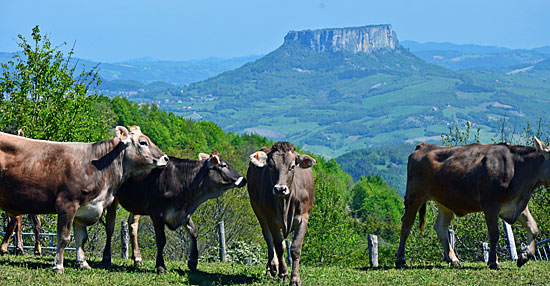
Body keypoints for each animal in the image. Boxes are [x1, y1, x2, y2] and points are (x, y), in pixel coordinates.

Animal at [102, 151, 248, 274]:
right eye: (223, 165)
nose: (243, 179)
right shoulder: (157, 213)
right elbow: (161, 240)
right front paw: (161, 266)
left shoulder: (182, 212)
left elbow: (194, 231)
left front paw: (193, 262)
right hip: (112, 199)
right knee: (110, 226)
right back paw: (106, 258)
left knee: (132, 225)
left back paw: (137, 259)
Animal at [248, 142, 316, 286]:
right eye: (271, 166)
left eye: (292, 166)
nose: (280, 189)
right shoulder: (271, 219)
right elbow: (279, 246)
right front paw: (283, 274)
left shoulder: (303, 218)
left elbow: (295, 248)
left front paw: (295, 279)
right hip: (258, 211)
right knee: (269, 239)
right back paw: (272, 267)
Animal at [394, 137, 548, 270]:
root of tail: (424, 145)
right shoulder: (491, 205)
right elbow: (494, 235)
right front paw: (494, 262)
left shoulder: (518, 205)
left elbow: (534, 228)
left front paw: (524, 257)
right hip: (414, 196)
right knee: (406, 225)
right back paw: (400, 259)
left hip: (444, 201)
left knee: (440, 227)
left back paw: (453, 259)